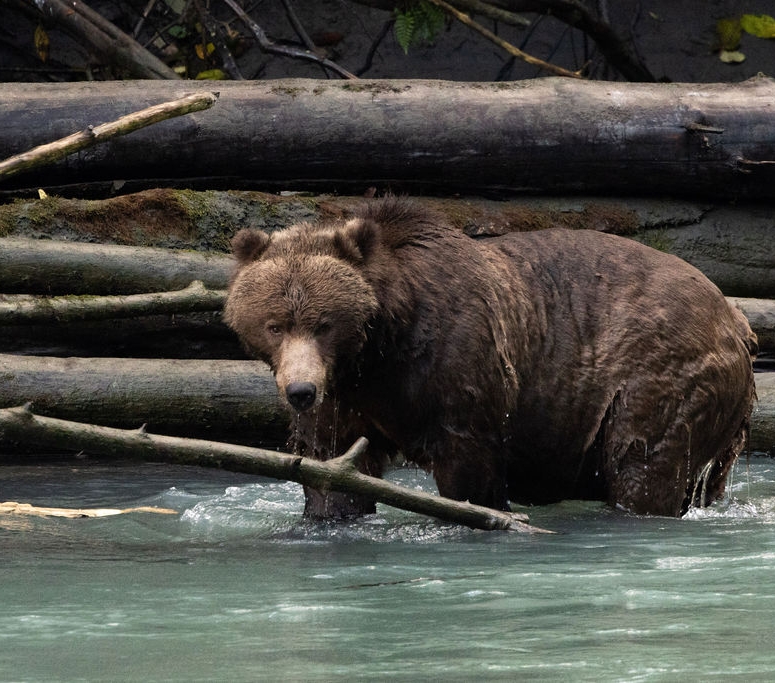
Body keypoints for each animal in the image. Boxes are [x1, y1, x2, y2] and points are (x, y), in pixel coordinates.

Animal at [224, 197, 757, 519]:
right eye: (275, 324)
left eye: (323, 323)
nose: (300, 390)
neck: (379, 347)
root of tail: (735, 318)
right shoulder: (348, 392)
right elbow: (331, 462)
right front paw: (327, 513)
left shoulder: (456, 363)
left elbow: (468, 462)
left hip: (657, 372)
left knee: (644, 462)